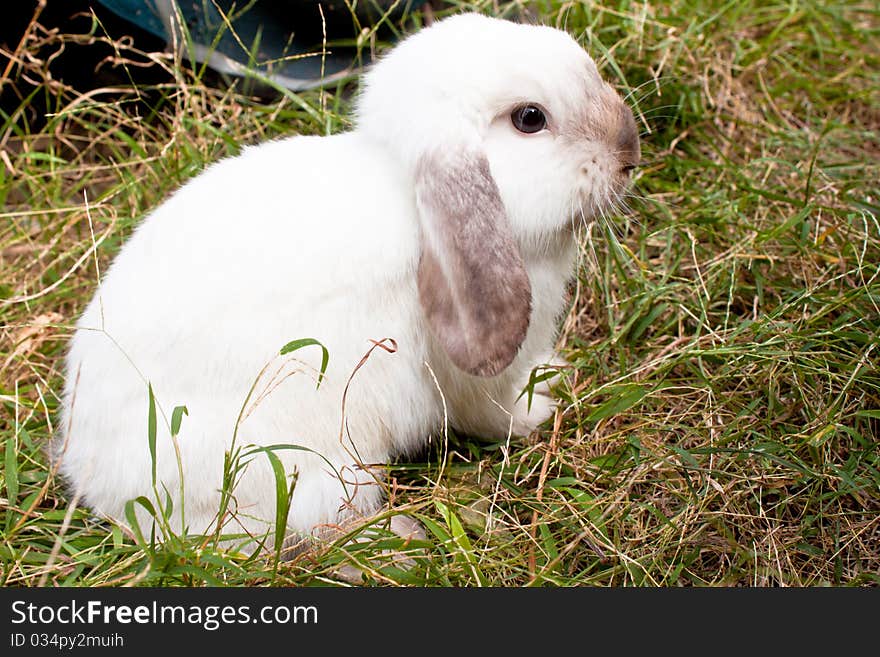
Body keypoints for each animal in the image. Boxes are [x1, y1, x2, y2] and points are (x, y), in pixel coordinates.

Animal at [53, 14, 640, 548]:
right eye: (529, 118)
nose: (629, 149)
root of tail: (105, 490)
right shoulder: (474, 381)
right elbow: (496, 413)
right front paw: (540, 411)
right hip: (318, 472)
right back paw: (396, 539)